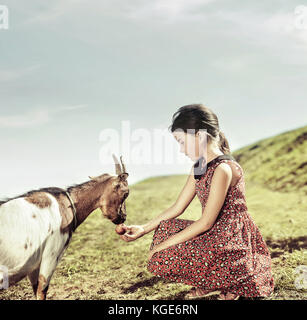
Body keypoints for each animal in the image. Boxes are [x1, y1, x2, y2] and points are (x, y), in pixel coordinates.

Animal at [0, 154, 129, 298]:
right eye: (126, 193)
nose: (123, 217)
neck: (67, 205)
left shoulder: (33, 265)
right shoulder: (52, 254)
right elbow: (42, 290)